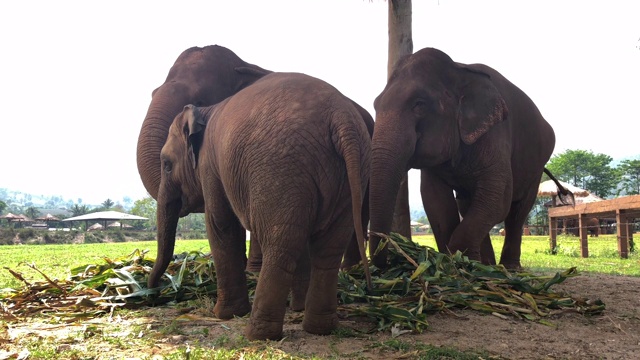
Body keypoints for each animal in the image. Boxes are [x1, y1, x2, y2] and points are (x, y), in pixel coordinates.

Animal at [148, 71, 372, 340]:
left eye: (166, 165)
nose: (153, 293)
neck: (205, 111)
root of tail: (340, 118)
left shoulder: (211, 166)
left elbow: (221, 224)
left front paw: (224, 315)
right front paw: (296, 308)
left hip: (281, 169)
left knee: (281, 244)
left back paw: (257, 334)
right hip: (347, 176)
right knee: (328, 246)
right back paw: (319, 329)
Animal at [368, 48, 556, 270]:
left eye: (419, 105)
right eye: (376, 105)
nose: (385, 261)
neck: (458, 69)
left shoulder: (496, 134)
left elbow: (498, 198)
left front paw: (460, 263)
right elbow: (436, 201)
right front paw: (456, 263)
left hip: (536, 167)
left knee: (517, 212)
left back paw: (508, 268)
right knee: (468, 205)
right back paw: (488, 265)